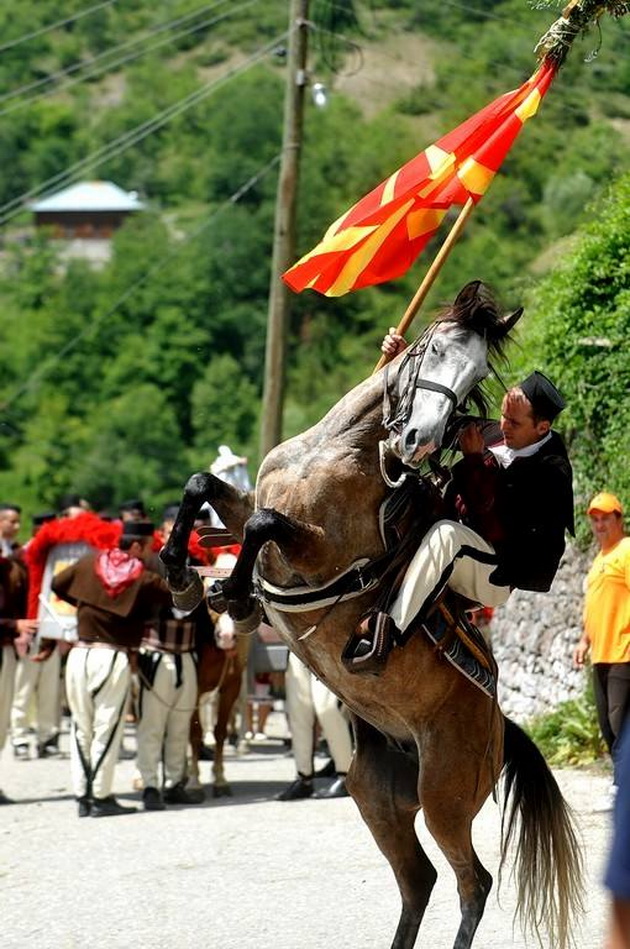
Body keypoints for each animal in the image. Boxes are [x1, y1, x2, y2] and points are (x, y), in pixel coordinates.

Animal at [160, 282, 584, 948]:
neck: (337, 452)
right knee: (418, 880)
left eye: (477, 375)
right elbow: (204, 486)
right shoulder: (253, 503)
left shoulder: (316, 550)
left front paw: (236, 597)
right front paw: (182, 577)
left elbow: (263, 525)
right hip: (376, 798)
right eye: (436, 349)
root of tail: (500, 726)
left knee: (472, 882)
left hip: (443, 800)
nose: (417, 443)